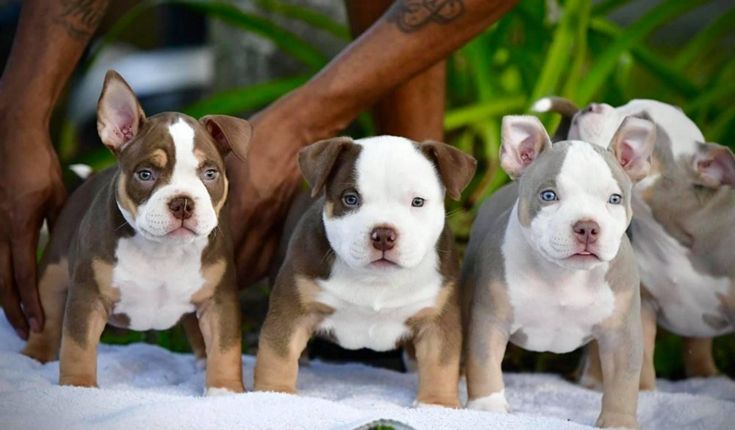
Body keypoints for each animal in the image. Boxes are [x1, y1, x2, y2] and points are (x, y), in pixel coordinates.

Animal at [21, 71, 252, 396]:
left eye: (210, 174)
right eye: (146, 174)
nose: (183, 203)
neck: (163, 250)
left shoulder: (219, 300)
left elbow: (226, 347)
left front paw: (224, 391)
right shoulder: (87, 297)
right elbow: (78, 347)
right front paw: (78, 387)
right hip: (53, 270)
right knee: (46, 317)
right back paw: (33, 357)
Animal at [254, 135, 478, 406]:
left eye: (417, 202)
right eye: (351, 199)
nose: (383, 235)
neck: (375, 280)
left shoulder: (437, 319)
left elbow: (440, 363)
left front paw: (437, 404)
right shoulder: (292, 308)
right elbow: (278, 353)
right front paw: (273, 394)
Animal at [466, 115, 656, 430]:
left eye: (614, 199)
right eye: (549, 195)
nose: (587, 227)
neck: (564, 275)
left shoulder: (622, 332)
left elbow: (624, 379)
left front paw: (618, 421)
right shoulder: (490, 317)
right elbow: (483, 358)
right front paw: (487, 407)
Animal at [536, 97, 735, 390]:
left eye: (641, 121)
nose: (591, 106)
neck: (667, 236)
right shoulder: (644, 306)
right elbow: (641, 356)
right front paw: (645, 390)